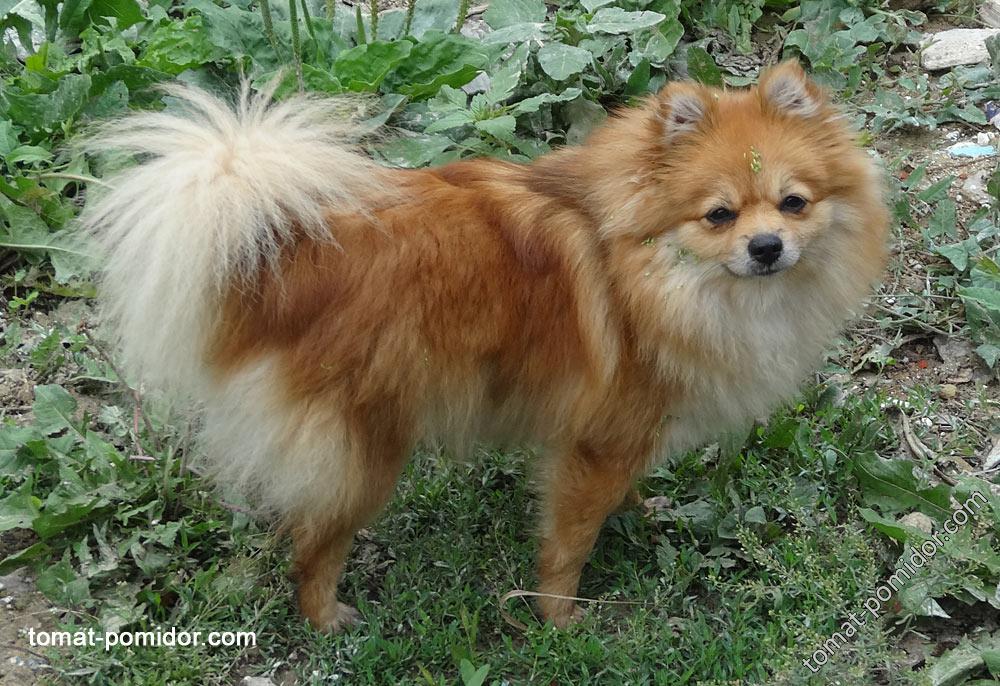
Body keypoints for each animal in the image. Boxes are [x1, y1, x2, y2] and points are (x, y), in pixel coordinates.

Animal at [81, 60, 889, 631]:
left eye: (793, 203)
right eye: (718, 215)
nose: (766, 246)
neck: (653, 271)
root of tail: (282, 260)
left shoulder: (619, 432)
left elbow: (618, 491)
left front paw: (637, 509)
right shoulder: (598, 439)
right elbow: (568, 543)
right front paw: (560, 619)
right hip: (365, 452)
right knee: (312, 539)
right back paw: (326, 616)